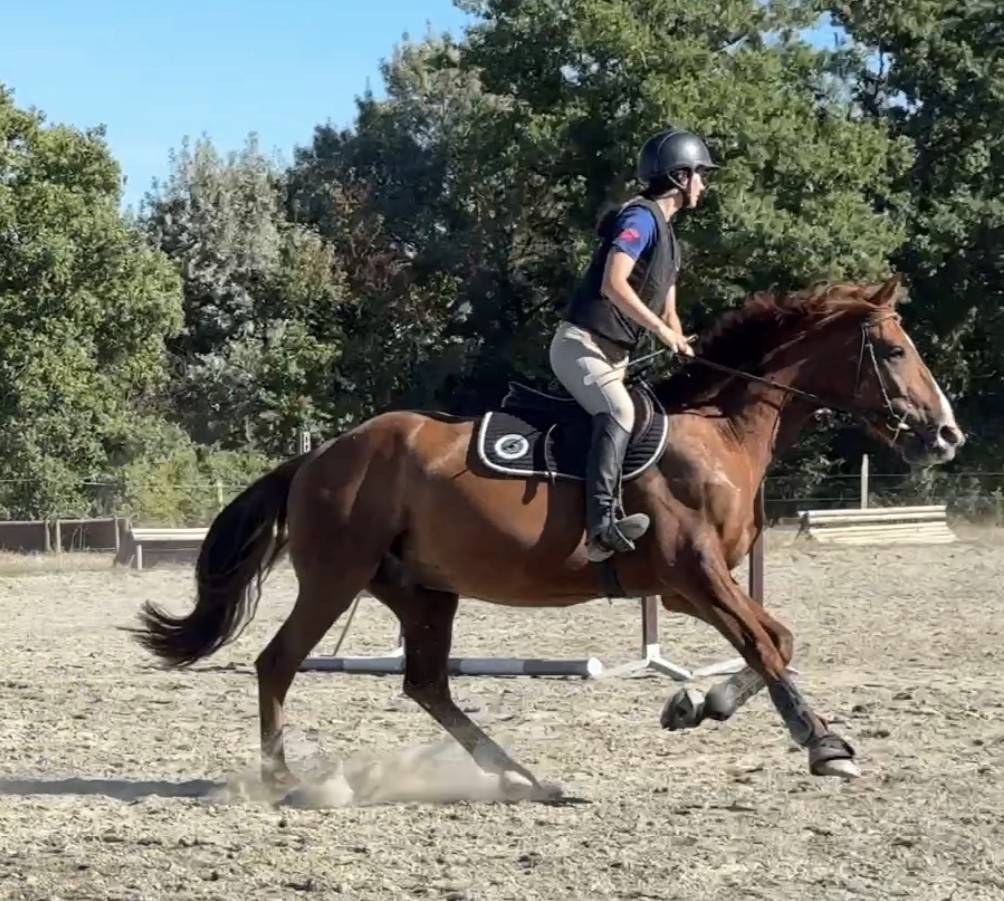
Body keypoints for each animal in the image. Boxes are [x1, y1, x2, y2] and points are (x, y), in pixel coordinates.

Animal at [135, 276, 964, 798]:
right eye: (894, 350)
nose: (946, 434)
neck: (720, 431)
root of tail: (318, 455)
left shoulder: (693, 586)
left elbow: (777, 639)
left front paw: (698, 703)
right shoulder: (693, 575)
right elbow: (766, 643)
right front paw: (824, 745)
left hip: (422, 591)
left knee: (426, 683)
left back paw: (523, 777)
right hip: (337, 577)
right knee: (278, 662)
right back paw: (285, 779)